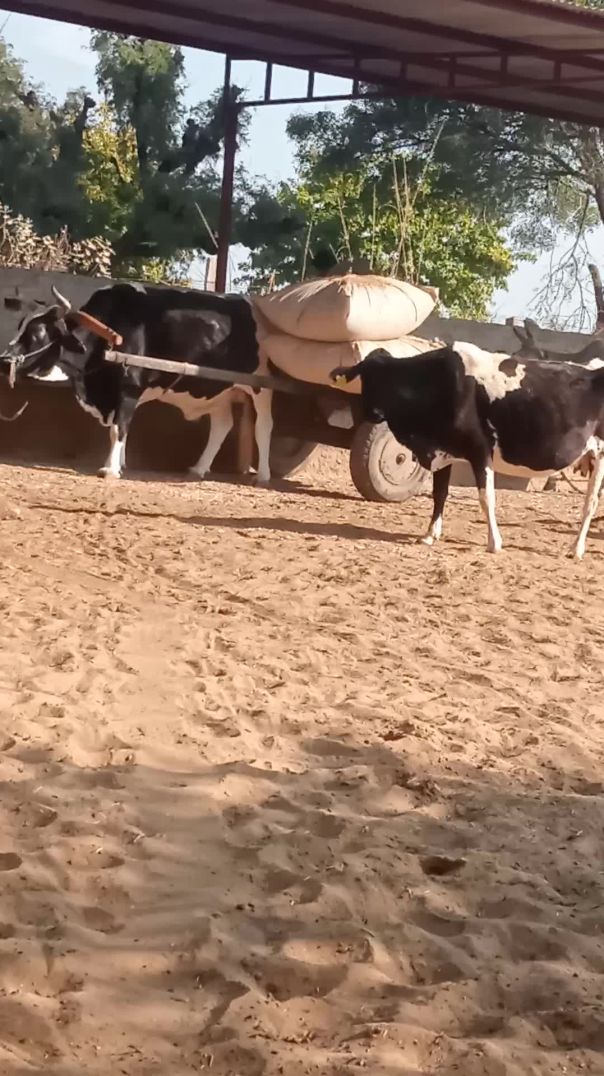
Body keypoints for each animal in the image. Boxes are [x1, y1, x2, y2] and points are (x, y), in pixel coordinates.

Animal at [1, 282, 274, 483]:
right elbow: (123, 428)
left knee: (263, 425)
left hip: (261, 386)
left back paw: (262, 475)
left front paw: (110, 468)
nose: (4, 361)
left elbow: (118, 429)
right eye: (20, 326)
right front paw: (121, 463)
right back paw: (199, 468)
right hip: (217, 391)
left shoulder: (128, 388)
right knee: (222, 425)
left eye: (38, 333)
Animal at [331, 343, 604, 559]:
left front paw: (494, 543)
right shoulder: (445, 450)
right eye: (365, 376)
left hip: (600, 455)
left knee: (590, 502)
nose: (372, 413)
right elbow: (440, 493)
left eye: (384, 379)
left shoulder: (479, 449)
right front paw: (430, 534)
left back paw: (576, 549)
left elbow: (486, 497)